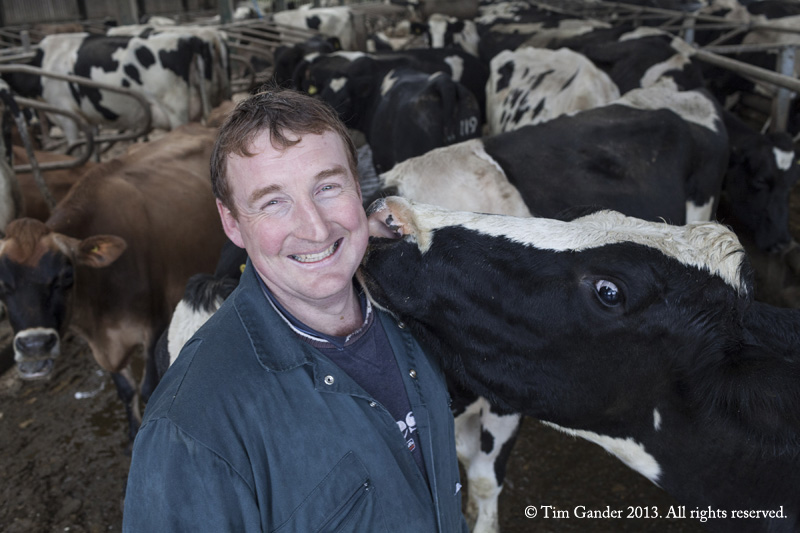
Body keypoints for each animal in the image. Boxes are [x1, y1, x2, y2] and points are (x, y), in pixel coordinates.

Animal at [0, 121, 228, 440]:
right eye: (0, 284)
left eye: (66, 275)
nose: (35, 347)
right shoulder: (100, 344)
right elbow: (124, 390)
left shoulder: (153, 323)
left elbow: (148, 388)